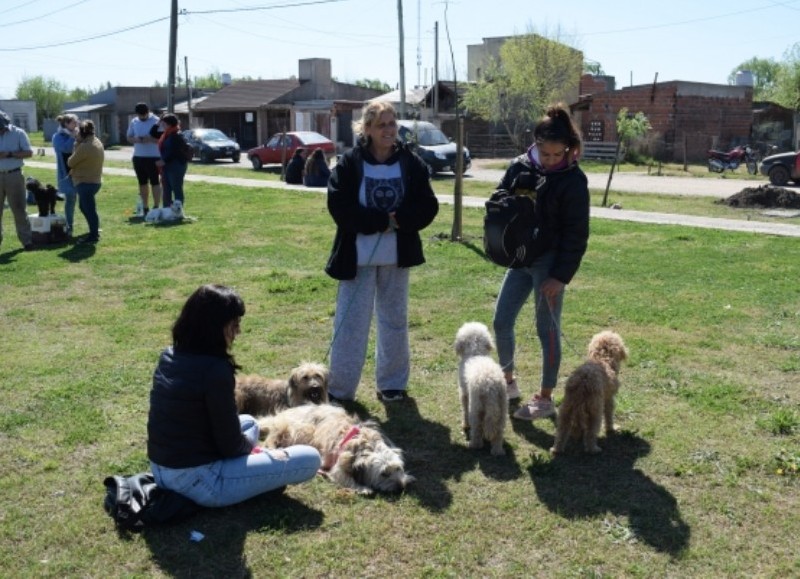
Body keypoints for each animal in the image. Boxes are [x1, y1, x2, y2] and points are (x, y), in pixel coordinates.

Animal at [258, 406, 416, 496]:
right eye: (384, 474)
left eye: (398, 468)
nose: (401, 487)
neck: (365, 445)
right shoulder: (339, 465)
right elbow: (345, 477)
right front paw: (362, 488)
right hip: (299, 429)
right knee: (271, 438)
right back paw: (272, 446)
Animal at [456, 322, 506, 458]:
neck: (476, 354)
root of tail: (491, 386)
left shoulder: (464, 393)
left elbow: (464, 410)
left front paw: (465, 425)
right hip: (502, 408)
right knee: (498, 432)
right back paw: (497, 451)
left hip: (476, 407)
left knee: (477, 428)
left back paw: (474, 444)